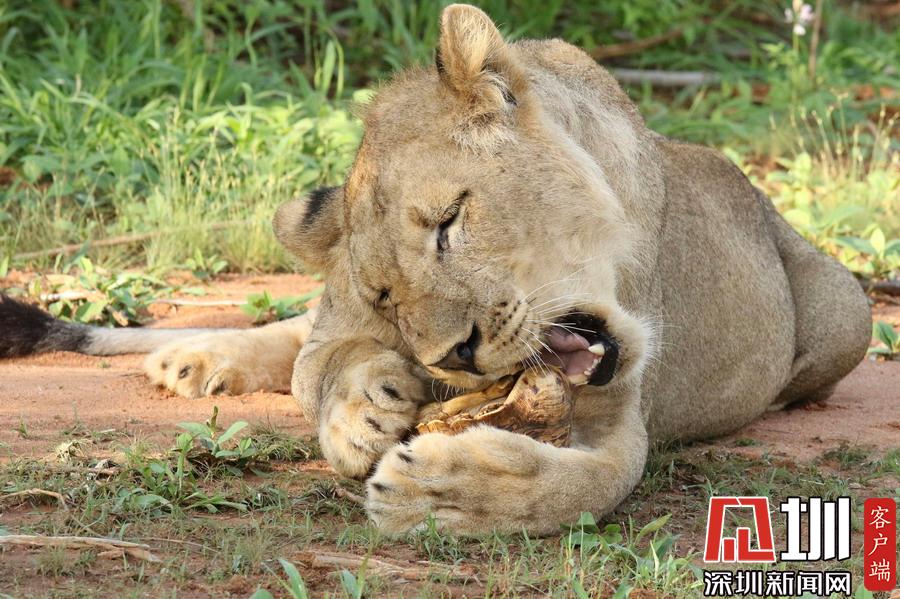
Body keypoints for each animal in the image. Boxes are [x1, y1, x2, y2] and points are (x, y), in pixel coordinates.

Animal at [0, 4, 870, 535]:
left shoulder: (622, 413)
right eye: (388, 298)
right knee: (294, 329)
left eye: (450, 222)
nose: (457, 352)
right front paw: (363, 409)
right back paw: (193, 356)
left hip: (850, 315)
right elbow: (321, 365)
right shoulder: (346, 320)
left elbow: (585, 485)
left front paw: (439, 491)